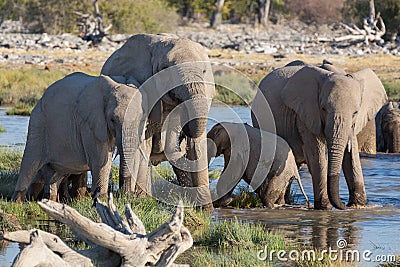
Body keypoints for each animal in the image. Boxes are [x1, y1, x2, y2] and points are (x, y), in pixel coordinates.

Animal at [11, 72, 148, 202]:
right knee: (30, 161)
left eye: (141, 120)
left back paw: (50, 200)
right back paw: (18, 201)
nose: (127, 196)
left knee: (55, 173)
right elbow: (101, 159)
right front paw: (101, 200)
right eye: (112, 119)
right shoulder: (89, 123)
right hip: (38, 121)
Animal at [101, 33, 217, 209]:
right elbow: (145, 144)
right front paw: (141, 201)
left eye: (204, 70)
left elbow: (197, 146)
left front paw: (206, 211)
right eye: (164, 69)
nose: (181, 134)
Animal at [253, 65, 388, 211]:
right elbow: (317, 156)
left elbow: (351, 156)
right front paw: (325, 207)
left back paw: (286, 202)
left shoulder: (354, 124)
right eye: (323, 109)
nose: (344, 204)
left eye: (355, 112)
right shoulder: (306, 115)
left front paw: (357, 205)